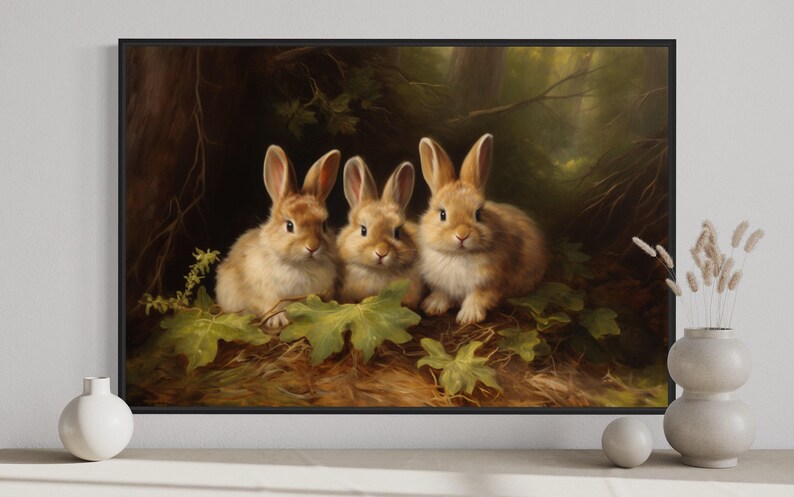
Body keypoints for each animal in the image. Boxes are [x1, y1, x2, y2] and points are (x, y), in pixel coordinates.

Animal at [215, 145, 341, 328]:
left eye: (323, 225)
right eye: (289, 225)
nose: (312, 247)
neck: (298, 265)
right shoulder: (262, 293)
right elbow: (269, 306)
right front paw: (278, 320)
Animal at [417, 133, 549, 325]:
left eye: (478, 214)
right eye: (442, 214)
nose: (462, 235)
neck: (459, 256)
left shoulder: (490, 284)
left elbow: (477, 298)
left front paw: (468, 317)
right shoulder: (442, 285)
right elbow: (442, 294)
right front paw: (432, 306)